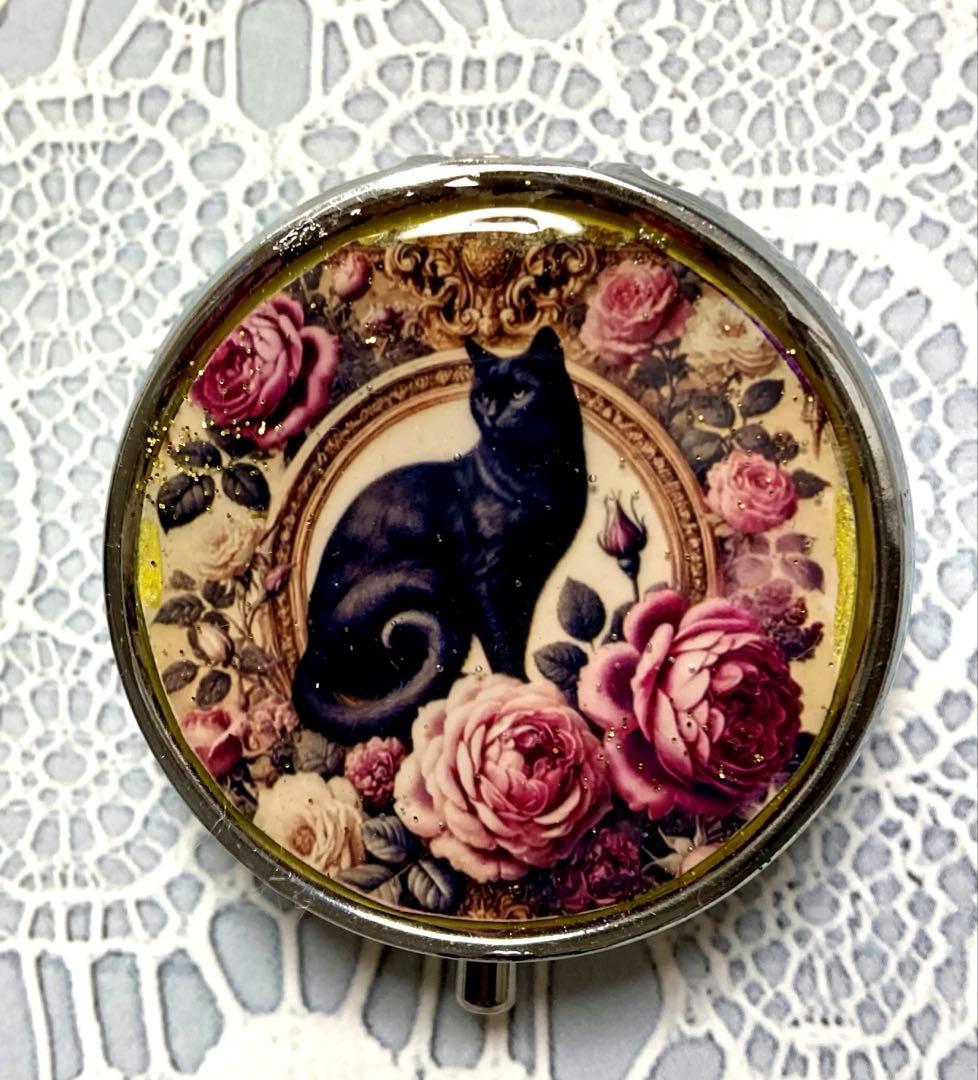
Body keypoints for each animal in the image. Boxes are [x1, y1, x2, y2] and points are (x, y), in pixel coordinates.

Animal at [292, 325, 587, 743]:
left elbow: (516, 635)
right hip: (422, 577)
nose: (492, 413)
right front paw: (515, 689)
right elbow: (501, 640)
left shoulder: (530, 576)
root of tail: (309, 657)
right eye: (484, 395)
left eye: (519, 392)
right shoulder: (486, 577)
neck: (539, 478)